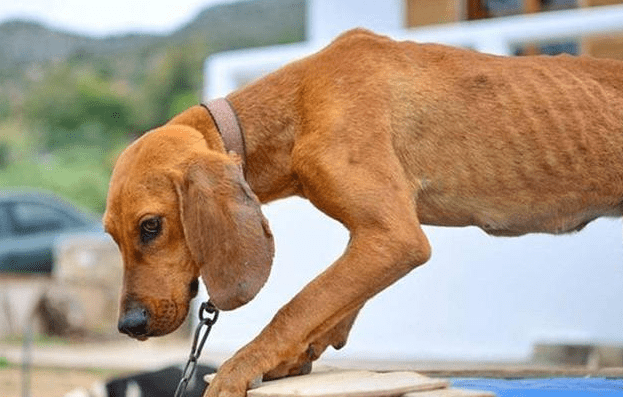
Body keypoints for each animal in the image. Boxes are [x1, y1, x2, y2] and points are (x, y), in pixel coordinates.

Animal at [103, 30, 623, 396]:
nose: (128, 327)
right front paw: (294, 354)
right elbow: (333, 301)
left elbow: (300, 304)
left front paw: (240, 368)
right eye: (111, 237)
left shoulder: (394, 236)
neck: (301, 104)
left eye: (151, 226)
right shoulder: (378, 241)